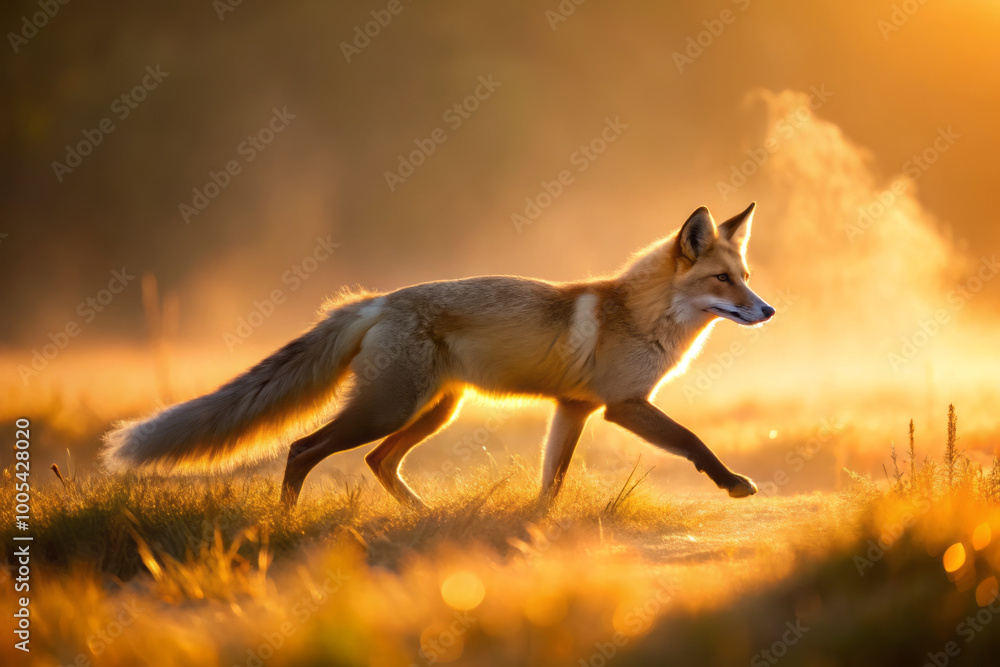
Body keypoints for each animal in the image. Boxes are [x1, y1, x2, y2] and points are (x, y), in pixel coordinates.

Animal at [102, 202, 775, 508]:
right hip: (388, 409)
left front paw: (537, 526)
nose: (768, 311)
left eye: (744, 277)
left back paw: (420, 515)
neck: (640, 318)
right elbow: (693, 441)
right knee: (302, 449)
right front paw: (734, 482)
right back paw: (286, 520)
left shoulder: (574, 409)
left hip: (433, 412)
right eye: (722, 281)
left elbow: (552, 479)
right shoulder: (623, 405)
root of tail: (378, 300)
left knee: (377, 462)